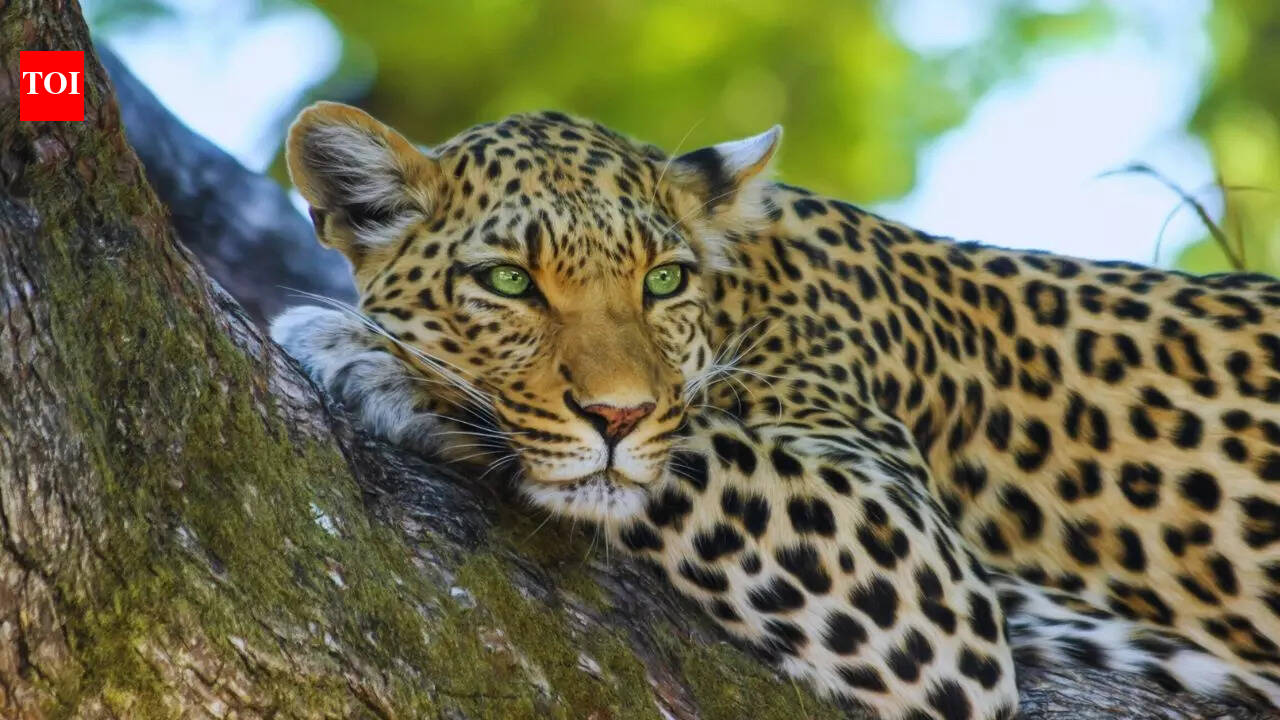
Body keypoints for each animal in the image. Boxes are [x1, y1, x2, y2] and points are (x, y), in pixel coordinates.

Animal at [270, 101, 1280, 719]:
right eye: (509, 282)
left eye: (663, 280)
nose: (617, 417)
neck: (746, 290)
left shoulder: (920, 575)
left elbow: (695, 447)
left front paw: (374, 357)